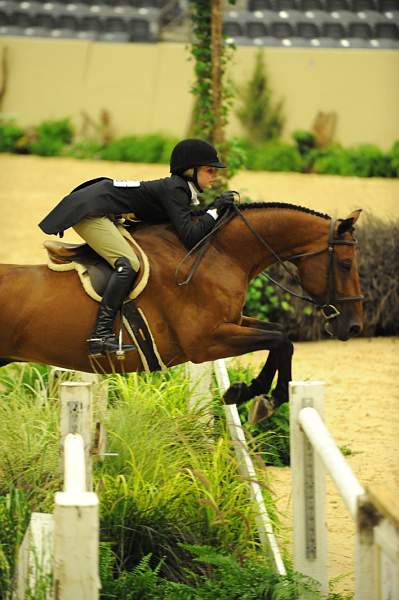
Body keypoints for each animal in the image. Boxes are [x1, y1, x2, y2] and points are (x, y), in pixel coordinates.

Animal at [0, 203, 364, 412]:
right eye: (346, 264)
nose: (355, 326)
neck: (219, 253)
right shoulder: (204, 343)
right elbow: (280, 340)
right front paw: (263, 398)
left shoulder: (232, 322)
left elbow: (280, 335)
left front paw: (251, 393)